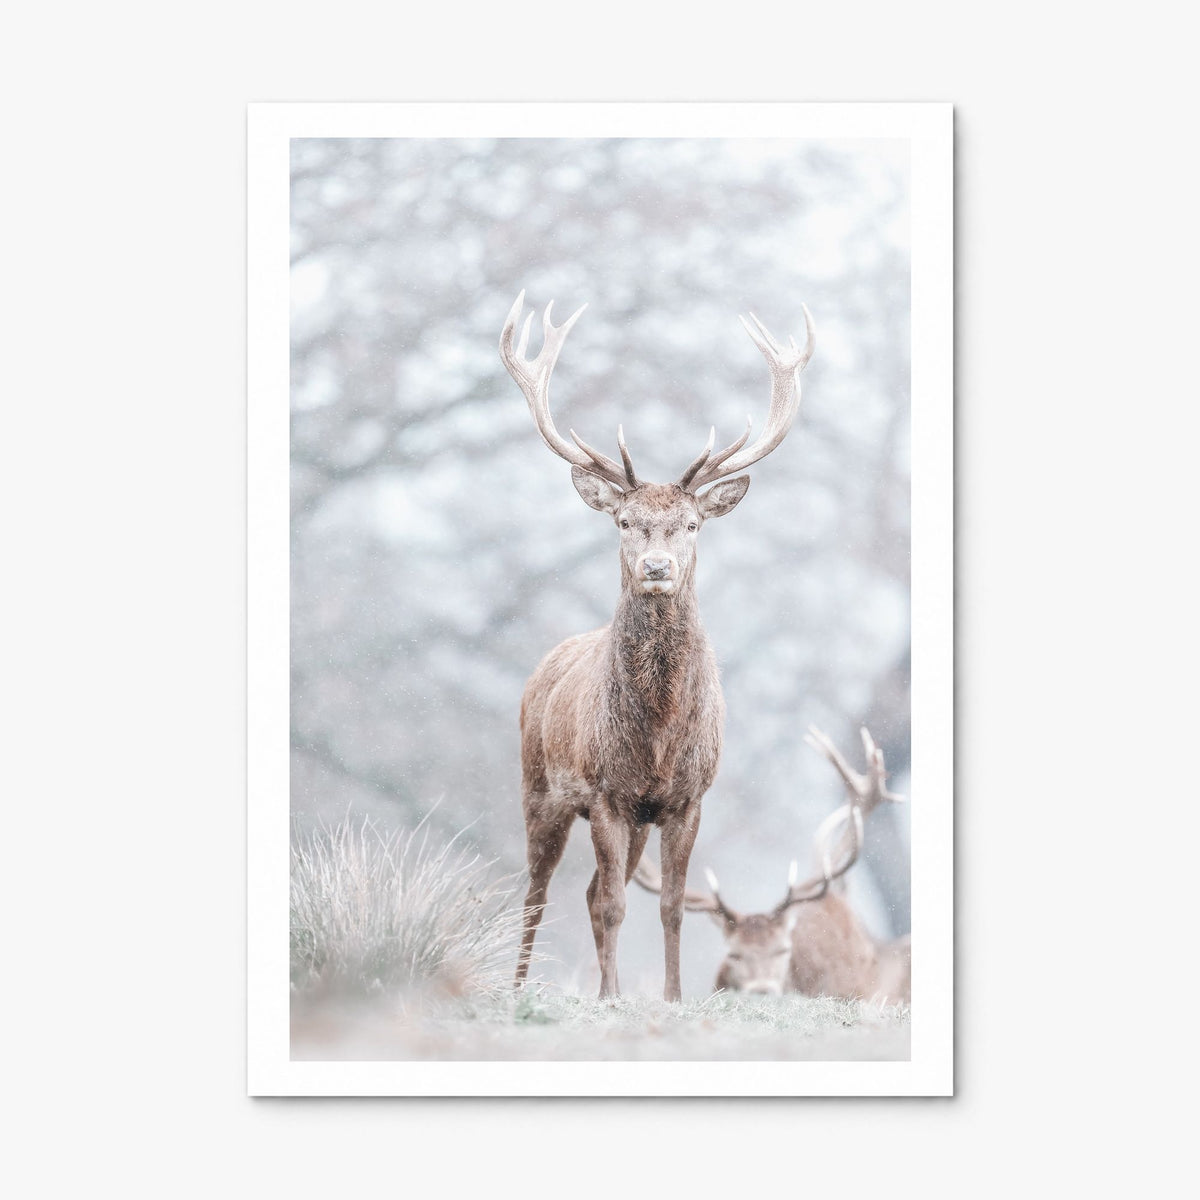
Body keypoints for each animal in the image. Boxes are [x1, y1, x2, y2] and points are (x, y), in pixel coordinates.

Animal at [500, 291, 815, 1001]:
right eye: (625, 521)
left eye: (692, 524)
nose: (656, 567)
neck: (658, 731)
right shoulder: (604, 793)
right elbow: (618, 905)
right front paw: (613, 998)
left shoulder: (686, 798)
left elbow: (669, 906)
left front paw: (670, 996)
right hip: (540, 787)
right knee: (539, 892)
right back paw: (522, 985)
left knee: (590, 892)